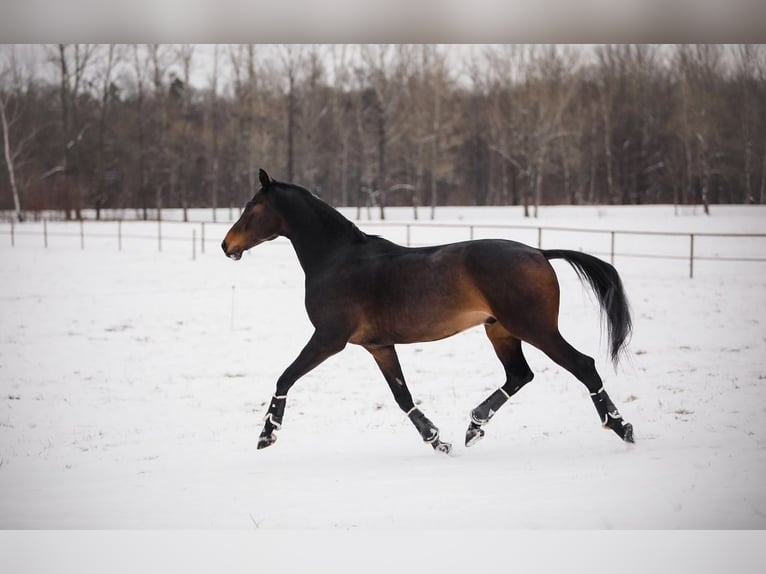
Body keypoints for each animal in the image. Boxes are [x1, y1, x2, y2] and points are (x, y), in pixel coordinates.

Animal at [222, 169, 636, 456]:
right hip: (500, 330)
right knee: (520, 374)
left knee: (582, 365)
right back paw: (473, 426)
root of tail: (539, 252)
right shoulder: (378, 346)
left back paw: (622, 427)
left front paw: (267, 434)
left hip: (535, 327)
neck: (337, 260)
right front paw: (436, 439)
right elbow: (402, 396)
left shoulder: (329, 338)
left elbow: (285, 377)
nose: (227, 246)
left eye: (251, 207)